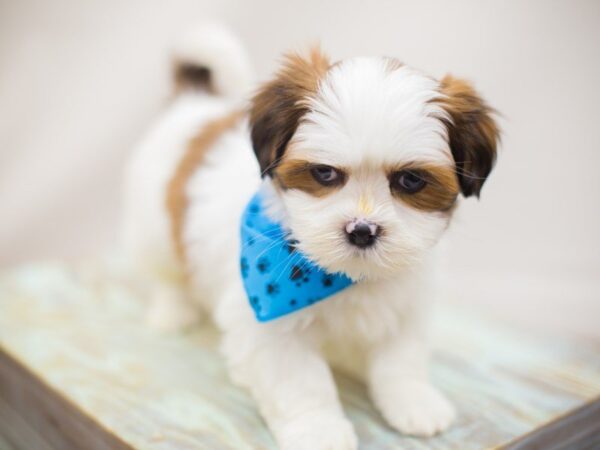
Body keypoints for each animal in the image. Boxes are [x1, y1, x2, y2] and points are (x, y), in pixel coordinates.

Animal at [120, 24, 496, 450]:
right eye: (325, 173)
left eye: (411, 180)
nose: (362, 230)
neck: (343, 275)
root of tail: (195, 104)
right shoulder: (271, 324)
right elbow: (299, 383)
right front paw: (319, 430)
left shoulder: (408, 302)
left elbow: (401, 357)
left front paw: (413, 400)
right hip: (153, 229)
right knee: (166, 272)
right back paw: (173, 311)